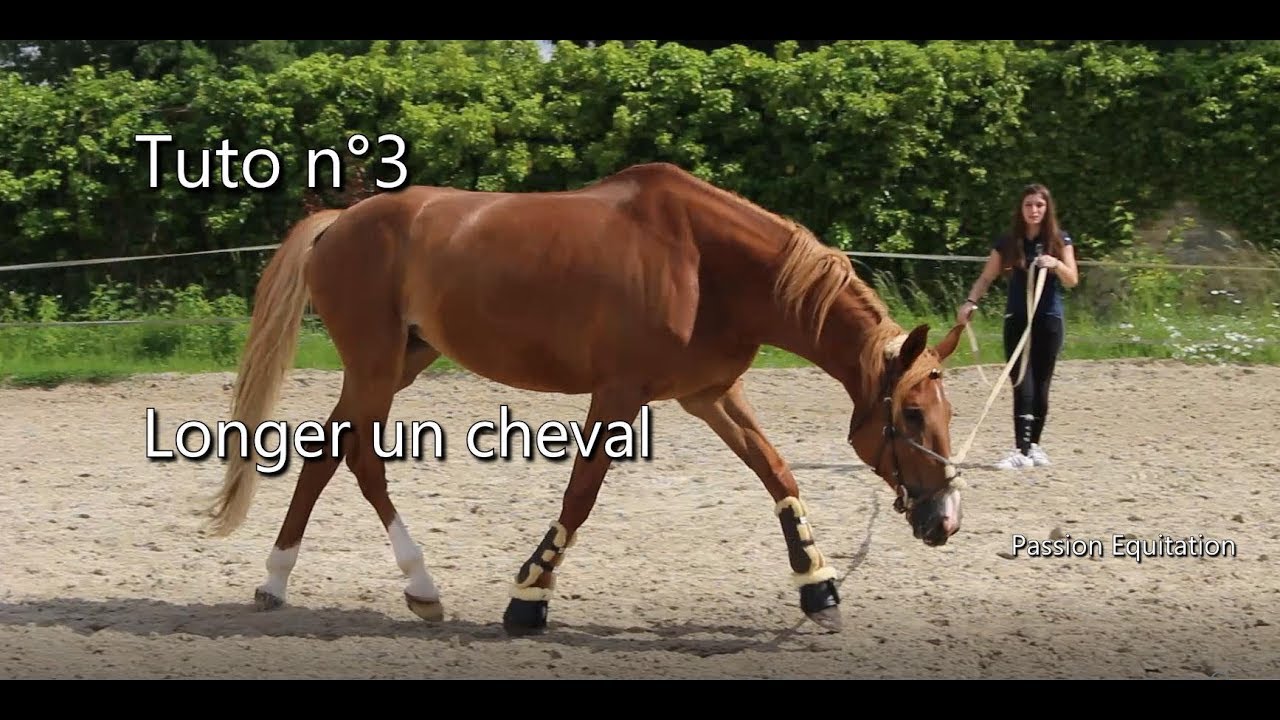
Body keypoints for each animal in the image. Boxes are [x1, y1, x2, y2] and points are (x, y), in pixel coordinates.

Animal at [204, 161, 967, 635]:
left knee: (325, 455)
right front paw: (527, 600)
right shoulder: (620, 394)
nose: (945, 520)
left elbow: (778, 474)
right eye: (910, 415)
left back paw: (276, 582)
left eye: (946, 412)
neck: (704, 263)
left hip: (397, 365)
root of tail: (340, 221)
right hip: (374, 367)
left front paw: (820, 589)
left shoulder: (710, 394)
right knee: (360, 460)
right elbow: (582, 493)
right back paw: (420, 587)